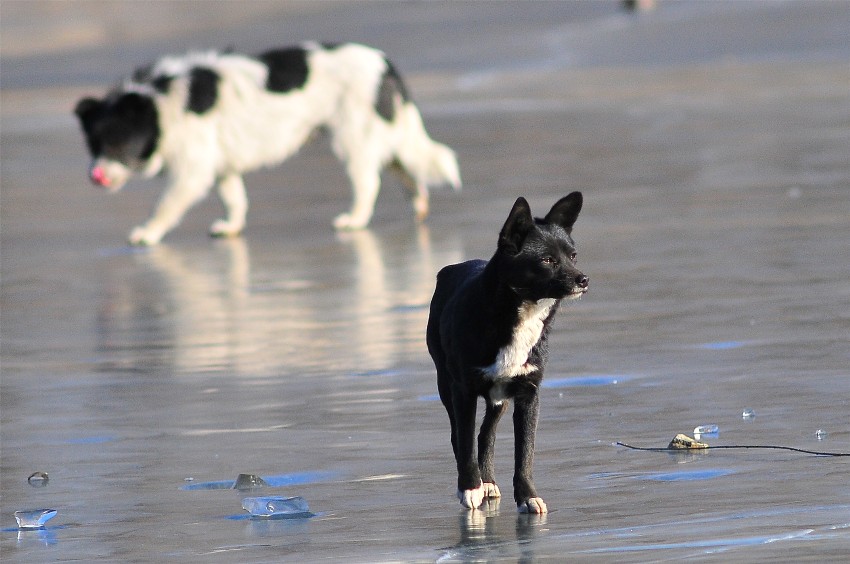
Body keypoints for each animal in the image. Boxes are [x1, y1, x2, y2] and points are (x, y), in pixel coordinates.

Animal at [73, 41, 460, 245]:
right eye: (93, 145)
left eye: (116, 145)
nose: (94, 176)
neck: (160, 104)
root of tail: (384, 63)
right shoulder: (221, 167)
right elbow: (235, 199)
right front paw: (231, 227)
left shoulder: (192, 171)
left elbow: (165, 206)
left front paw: (147, 234)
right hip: (385, 135)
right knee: (408, 174)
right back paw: (418, 208)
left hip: (352, 139)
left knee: (369, 182)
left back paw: (354, 220)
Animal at [428, 193, 588, 512]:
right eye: (547, 260)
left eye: (573, 256)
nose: (584, 280)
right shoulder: (463, 391)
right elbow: (464, 441)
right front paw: (469, 487)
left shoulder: (528, 393)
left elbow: (524, 452)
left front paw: (527, 495)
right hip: (446, 385)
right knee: (459, 436)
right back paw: (476, 482)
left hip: (499, 396)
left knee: (485, 433)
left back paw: (487, 480)